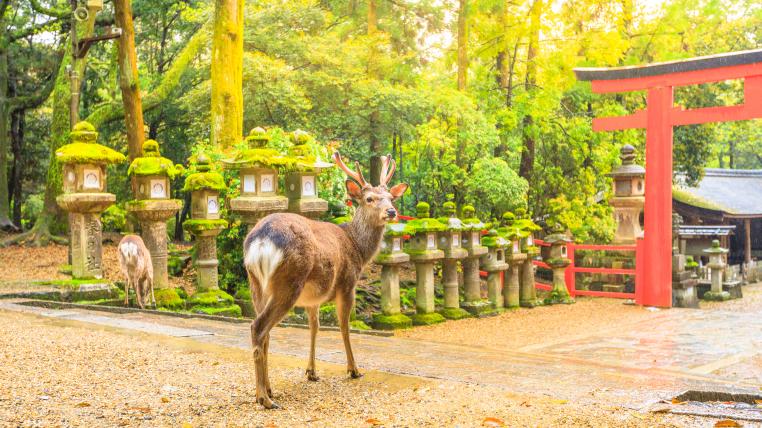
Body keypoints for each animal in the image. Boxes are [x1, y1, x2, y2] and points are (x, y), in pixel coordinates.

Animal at [243, 152, 407, 409]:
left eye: (390, 197)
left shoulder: (313, 298)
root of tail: (260, 241)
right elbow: (344, 326)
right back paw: (264, 398)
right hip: (289, 282)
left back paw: (268, 389)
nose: (391, 212)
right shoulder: (348, 283)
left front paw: (311, 372)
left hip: (256, 283)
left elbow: (314, 327)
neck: (358, 248)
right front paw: (354, 369)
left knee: (264, 332)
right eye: (369, 198)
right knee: (258, 327)